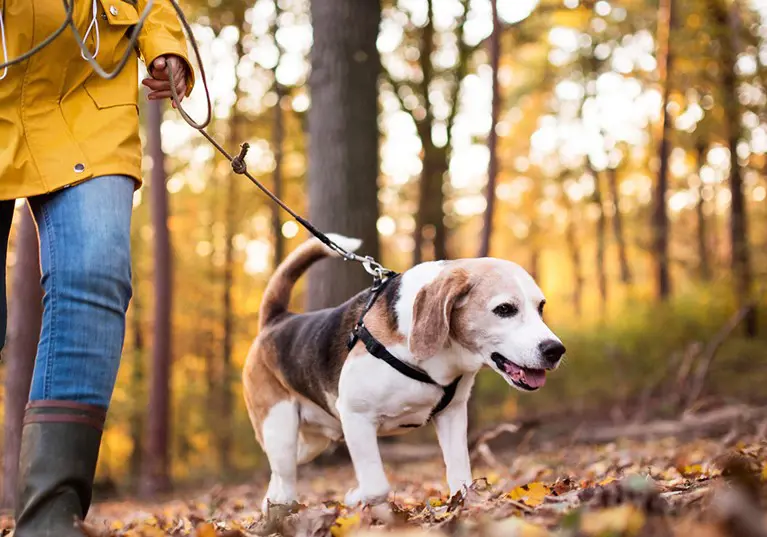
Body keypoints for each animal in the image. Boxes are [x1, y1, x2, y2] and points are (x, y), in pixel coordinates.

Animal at [243, 234, 568, 510]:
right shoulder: (356, 417)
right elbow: (376, 486)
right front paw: (355, 497)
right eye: (504, 309)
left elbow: (461, 476)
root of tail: (277, 320)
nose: (555, 350)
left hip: (311, 442)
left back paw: (273, 509)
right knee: (285, 475)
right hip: (280, 429)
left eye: (541, 307)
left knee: (277, 477)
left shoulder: (452, 415)